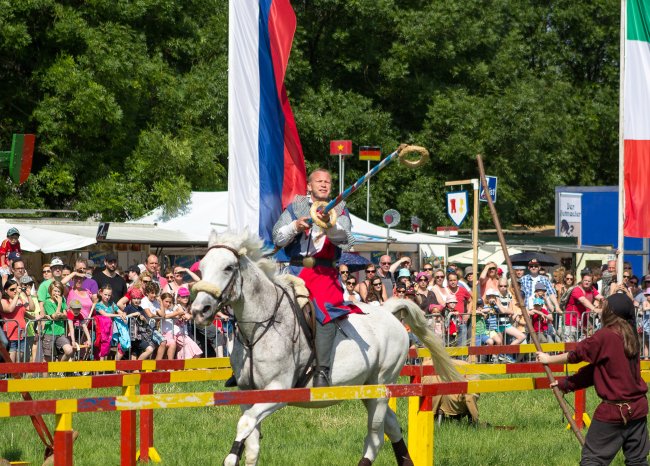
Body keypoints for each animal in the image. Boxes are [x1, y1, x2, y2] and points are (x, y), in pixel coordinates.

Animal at [190, 230, 458, 466]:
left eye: (228, 267)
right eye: (202, 268)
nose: (199, 310)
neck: (259, 329)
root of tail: (389, 312)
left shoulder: (278, 392)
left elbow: (245, 425)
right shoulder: (248, 394)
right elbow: (252, 442)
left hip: (381, 387)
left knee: (375, 436)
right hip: (367, 388)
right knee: (391, 426)